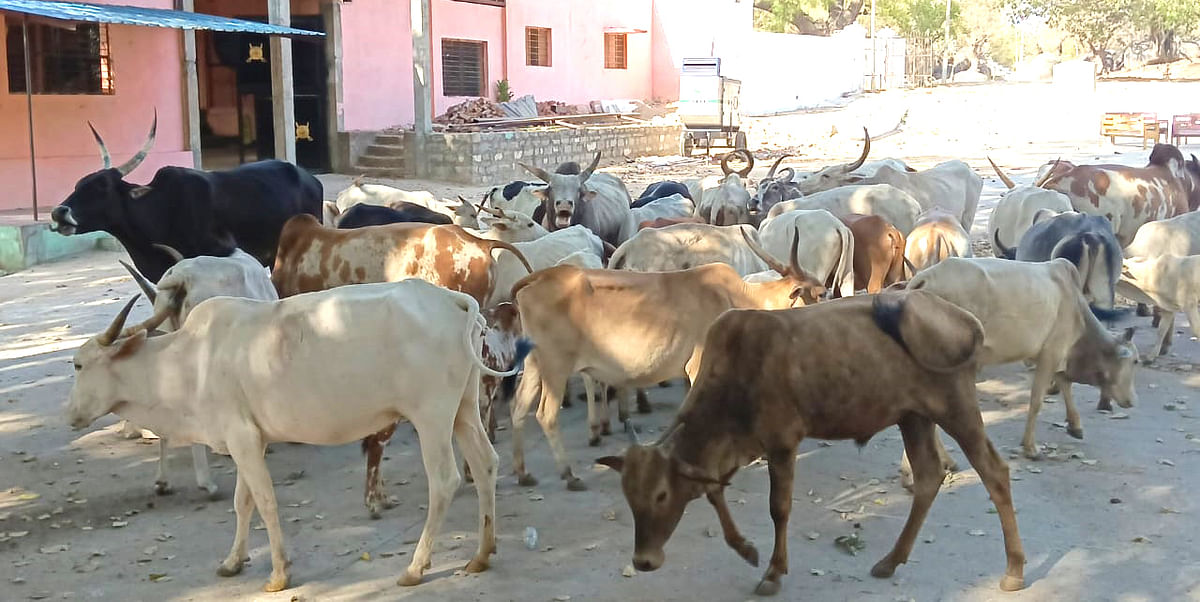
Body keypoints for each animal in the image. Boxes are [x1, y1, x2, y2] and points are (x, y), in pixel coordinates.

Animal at [64, 280, 516, 592]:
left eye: (78, 365)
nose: (70, 415)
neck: (190, 360)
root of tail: (451, 300)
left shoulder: (243, 439)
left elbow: (264, 502)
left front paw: (279, 573)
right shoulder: (249, 439)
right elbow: (243, 502)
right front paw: (232, 562)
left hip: (431, 417)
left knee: (445, 481)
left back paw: (414, 568)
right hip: (463, 411)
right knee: (485, 463)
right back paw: (481, 554)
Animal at [597, 291, 1022, 597]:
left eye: (661, 495)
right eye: (629, 496)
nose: (644, 561)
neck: (735, 374)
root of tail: (963, 317)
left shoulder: (782, 443)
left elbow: (778, 509)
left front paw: (773, 572)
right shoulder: (732, 450)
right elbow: (715, 494)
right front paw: (746, 549)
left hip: (956, 409)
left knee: (995, 472)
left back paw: (1014, 569)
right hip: (913, 417)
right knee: (929, 477)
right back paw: (891, 560)